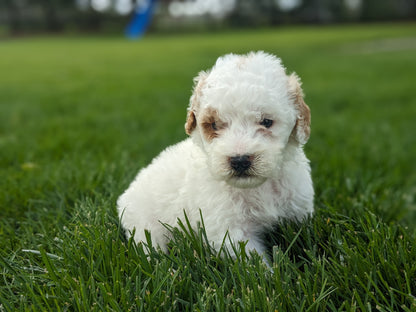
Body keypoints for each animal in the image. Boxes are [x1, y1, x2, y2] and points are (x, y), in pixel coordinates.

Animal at [116, 51, 312, 256]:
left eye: (266, 122)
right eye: (215, 125)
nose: (240, 160)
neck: (256, 187)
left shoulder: (298, 211)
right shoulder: (231, 230)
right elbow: (250, 258)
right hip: (143, 226)